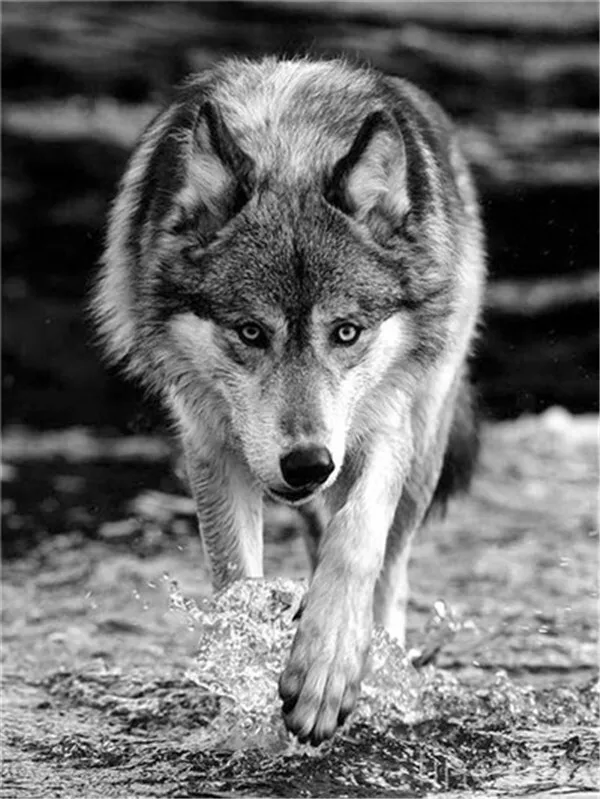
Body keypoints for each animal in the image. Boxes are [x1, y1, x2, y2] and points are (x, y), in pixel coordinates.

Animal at [92, 56, 485, 744]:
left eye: (346, 332)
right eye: (252, 332)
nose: (307, 464)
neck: (292, 147)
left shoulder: (385, 427)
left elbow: (356, 541)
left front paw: (328, 665)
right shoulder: (211, 445)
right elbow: (235, 586)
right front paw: (245, 678)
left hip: (423, 447)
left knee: (389, 568)